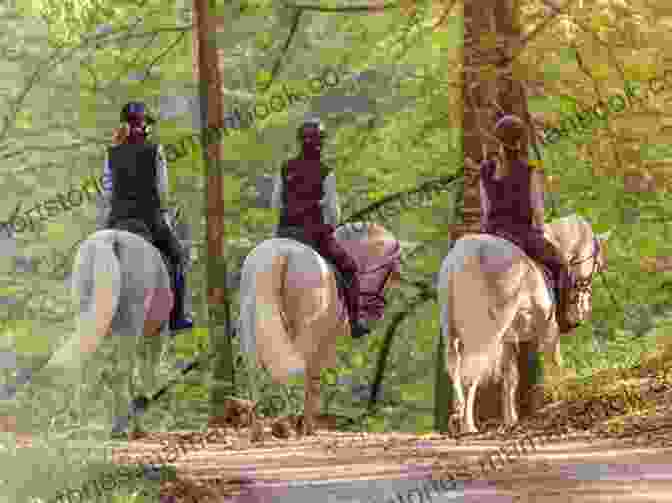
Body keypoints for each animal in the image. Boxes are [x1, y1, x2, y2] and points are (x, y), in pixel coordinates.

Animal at [236, 222, 402, 436]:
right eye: (390, 270)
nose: (377, 311)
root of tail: (282, 253)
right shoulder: (325, 343)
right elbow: (313, 380)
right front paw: (307, 427)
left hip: (252, 325)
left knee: (256, 369)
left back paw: (260, 430)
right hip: (306, 329)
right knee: (296, 369)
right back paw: (286, 423)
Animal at [438, 215, 612, 436]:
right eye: (598, 264)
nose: (582, 313)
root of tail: (461, 256)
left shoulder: (508, 340)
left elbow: (510, 378)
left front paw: (510, 421)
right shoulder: (549, 329)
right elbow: (554, 364)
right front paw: (559, 399)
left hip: (452, 331)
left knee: (456, 367)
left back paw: (458, 417)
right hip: (486, 333)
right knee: (472, 372)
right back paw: (467, 425)